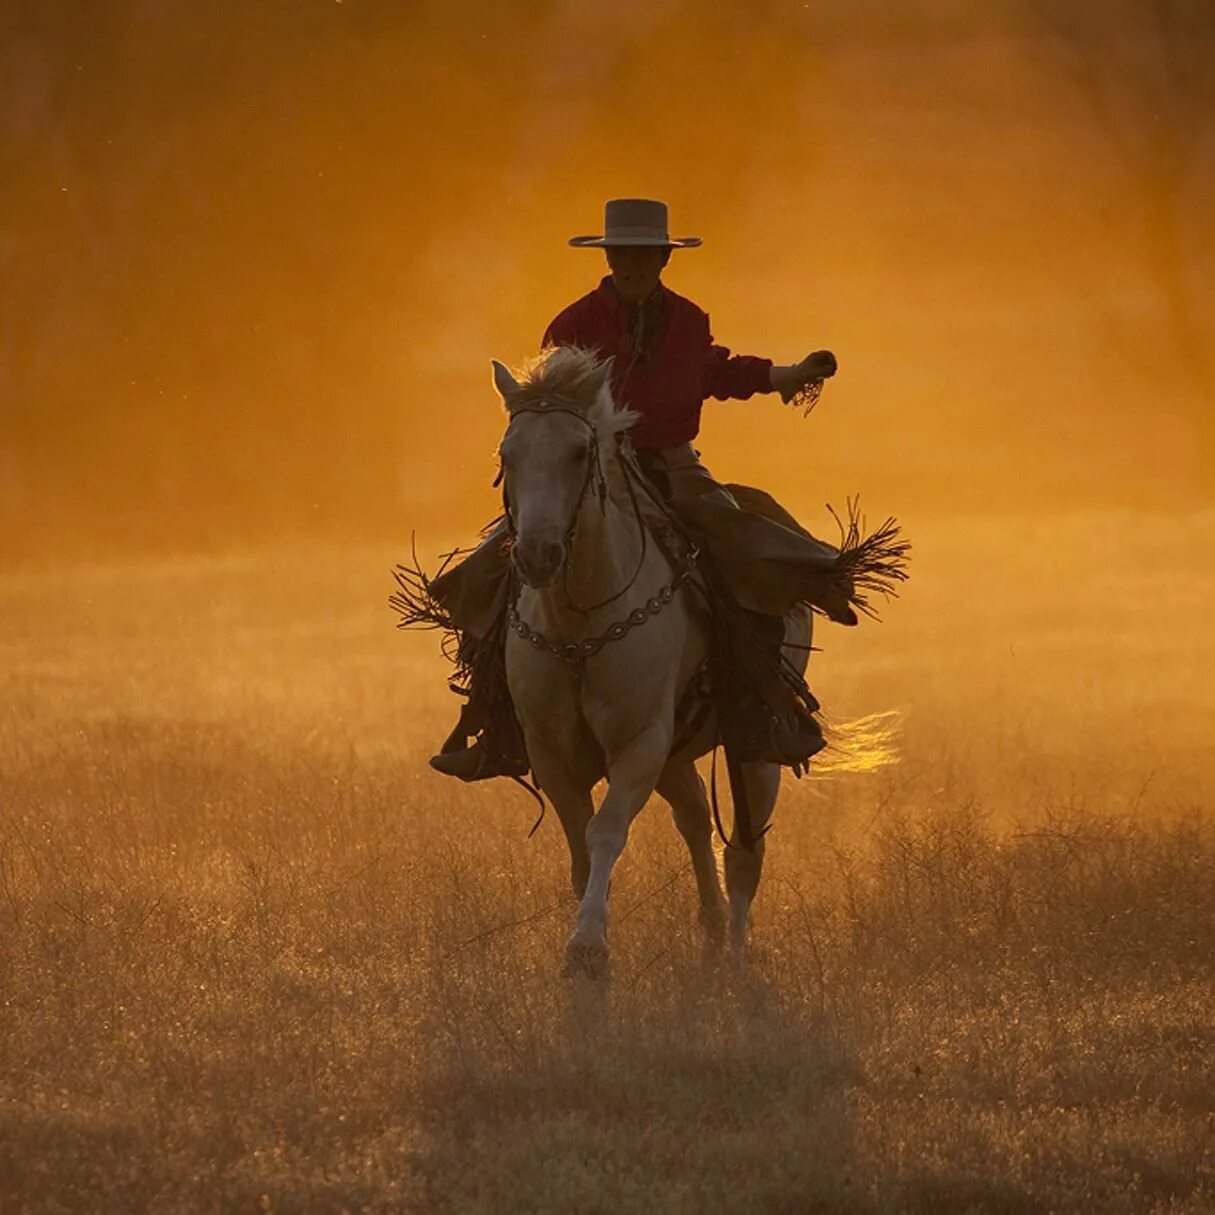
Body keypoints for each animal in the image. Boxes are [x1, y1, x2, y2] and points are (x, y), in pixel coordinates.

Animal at [488, 347, 811, 972]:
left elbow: (607, 831)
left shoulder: (639, 742)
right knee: (695, 820)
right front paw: (586, 937)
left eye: (579, 451)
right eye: (506, 454)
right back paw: (711, 930)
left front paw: (588, 946)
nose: (538, 555)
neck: (580, 628)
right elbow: (580, 846)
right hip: (676, 756)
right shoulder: (553, 754)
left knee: (745, 851)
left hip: (754, 748)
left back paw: (735, 956)